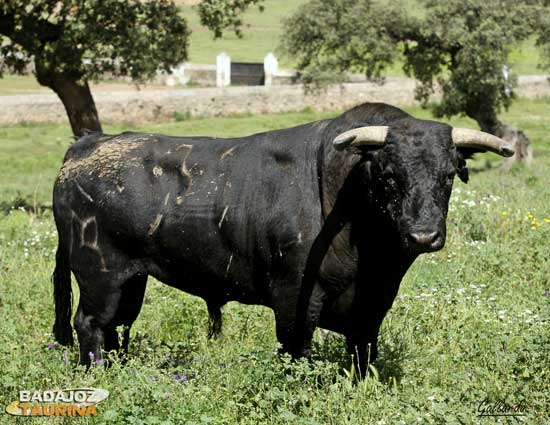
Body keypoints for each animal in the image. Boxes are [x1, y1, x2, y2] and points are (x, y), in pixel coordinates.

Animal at [50, 102, 512, 372]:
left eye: (448, 175)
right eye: (387, 175)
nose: (423, 235)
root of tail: (88, 145)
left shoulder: (373, 306)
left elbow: (363, 353)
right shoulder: (294, 299)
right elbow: (297, 353)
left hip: (132, 279)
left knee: (116, 326)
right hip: (99, 274)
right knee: (89, 323)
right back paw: (97, 374)